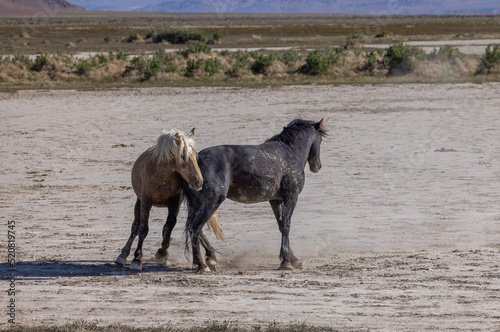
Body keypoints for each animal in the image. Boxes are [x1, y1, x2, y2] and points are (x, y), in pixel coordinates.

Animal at [114, 128, 224, 272]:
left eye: (196, 156)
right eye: (182, 156)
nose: (199, 181)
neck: (162, 175)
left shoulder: (175, 202)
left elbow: (168, 227)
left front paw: (163, 254)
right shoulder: (146, 201)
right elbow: (143, 229)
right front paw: (137, 259)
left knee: (192, 225)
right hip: (139, 202)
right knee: (135, 227)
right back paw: (122, 256)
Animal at [182, 119, 326, 272]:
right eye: (321, 140)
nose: (317, 166)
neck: (290, 152)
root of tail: (196, 160)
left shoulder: (275, 200)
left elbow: (281, 226)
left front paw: (292, 258)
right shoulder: (291, 197)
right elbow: (286, 226)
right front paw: (286, 262)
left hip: (197, 204)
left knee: (192, 227)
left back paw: (211, 257)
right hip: (212, 202)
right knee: (195, 228)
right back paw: (202, 264)